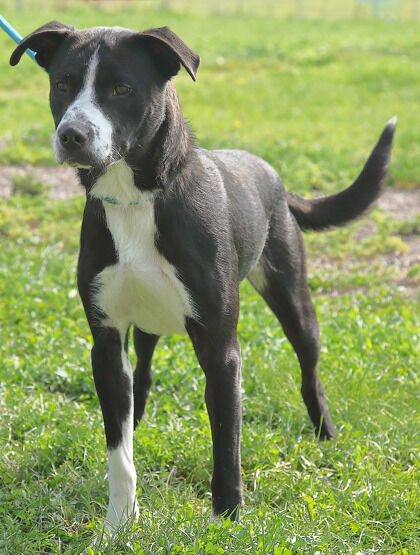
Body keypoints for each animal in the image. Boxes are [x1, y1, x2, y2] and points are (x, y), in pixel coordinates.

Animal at [10, 21, 398, 532]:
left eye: (120, 89)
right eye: (63, 84)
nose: (72, 135)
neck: (136, 198)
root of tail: (273, 174)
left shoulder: (220, 348)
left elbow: (226, 442)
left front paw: (228, 517)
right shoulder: (106, 341)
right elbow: (119, 448)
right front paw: (119, 523)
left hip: (293, 298)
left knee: (309, 371)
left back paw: (325, 435)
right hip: (148, 326)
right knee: (142, 378)